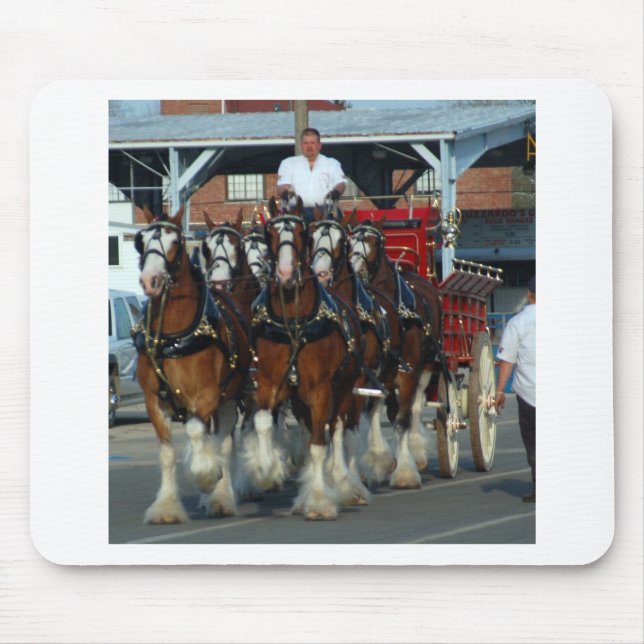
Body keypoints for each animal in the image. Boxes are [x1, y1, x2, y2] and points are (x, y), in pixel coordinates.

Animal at [132, 205, 249, 522]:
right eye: (140, 241)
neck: (172, 336)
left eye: (175, 241)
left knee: (224, 440)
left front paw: (208, 477)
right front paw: (167, 507)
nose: (150, 280)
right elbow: (166, 453)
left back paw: (221, 497)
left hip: (232, 395)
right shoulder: (154, 401)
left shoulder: (207, 395)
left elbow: (199, 434)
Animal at [242, 196, 365, 519]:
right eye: (270, 234)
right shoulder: (270, 382)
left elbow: (320, 444)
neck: (295, 325)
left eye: (301, 233)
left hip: (345, 386)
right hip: (300, 399)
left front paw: (320, 500)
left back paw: (342, 482)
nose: (285, 274)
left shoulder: (321, 388)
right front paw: (266, 468)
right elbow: (263, 421)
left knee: (336, 429)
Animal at [348, 215, 445, 489]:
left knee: (415, 407)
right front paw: (378, 461)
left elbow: (402, 419)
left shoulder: (409, 370)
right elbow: (376, 412)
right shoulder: (378, 372)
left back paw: (417, 452)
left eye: (372, 242)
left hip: (427, 365)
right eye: (350, 241)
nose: (356, 270)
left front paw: (404, 473)